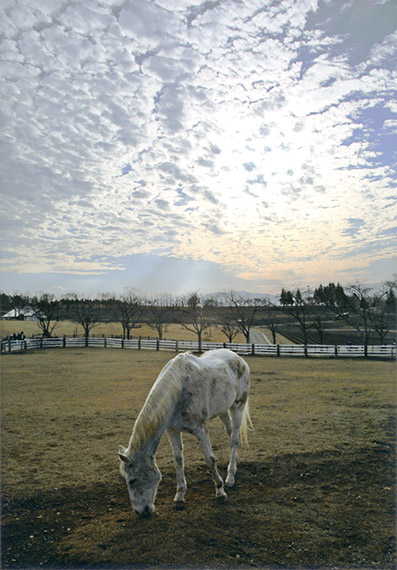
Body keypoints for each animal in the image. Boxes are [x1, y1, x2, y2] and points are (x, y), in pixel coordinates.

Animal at [117, 346, 251, 516]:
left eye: (132, 480)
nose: (140, 512)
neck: (178, 390)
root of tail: (237, 357)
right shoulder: (172, 430)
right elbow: (178, 461)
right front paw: (179, 497)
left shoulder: (200, 429)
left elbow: (210, 460)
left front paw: (220, 493)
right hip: (222, 410)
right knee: (230, 433)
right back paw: (233, 467)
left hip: (238, 406)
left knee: (234, 439)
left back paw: (230, 478)